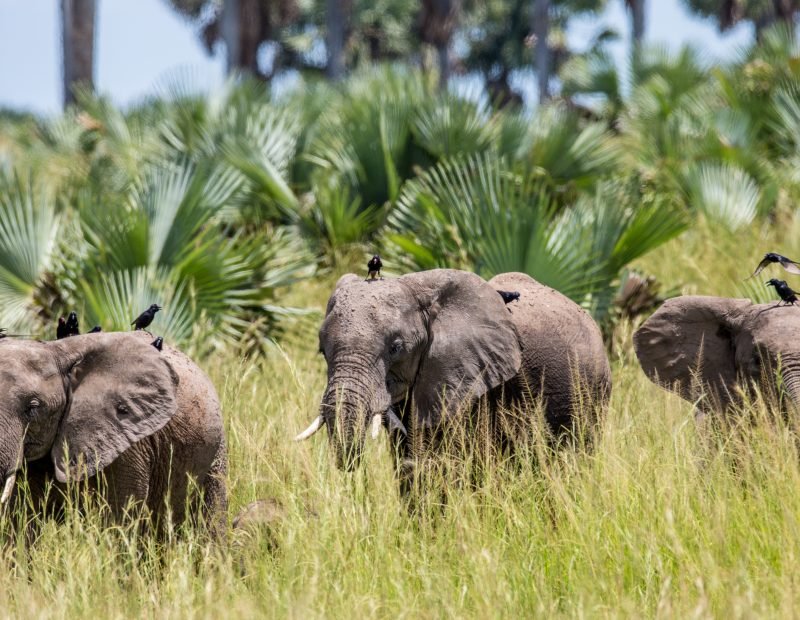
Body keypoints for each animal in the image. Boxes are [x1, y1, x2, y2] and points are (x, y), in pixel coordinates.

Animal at [0, 331, 227, 536]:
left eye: (33, 407)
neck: (55, 351)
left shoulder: (126, 442)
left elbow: (118, 517)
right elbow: (18, 521)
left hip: (216, 451)